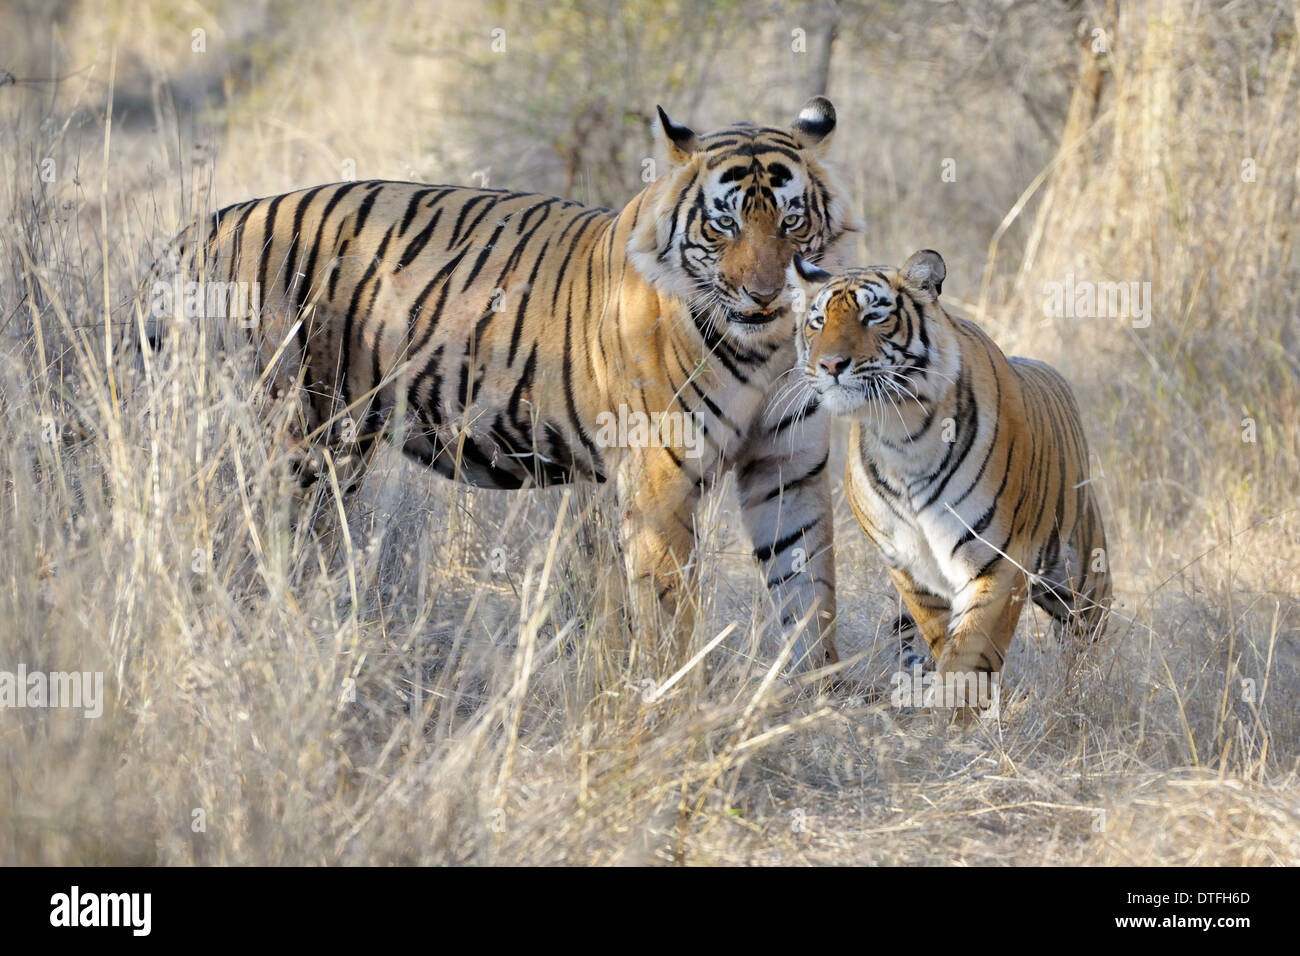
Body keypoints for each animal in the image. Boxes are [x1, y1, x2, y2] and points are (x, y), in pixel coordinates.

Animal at [147, 98, 857, 671]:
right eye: (723, 224)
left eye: (791, 221)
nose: (766, 296)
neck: (765, 350)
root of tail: (205, 227)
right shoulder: (660, 478)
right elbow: (668, 610)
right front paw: (674, 697)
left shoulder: (787, 466)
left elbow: (809, 587)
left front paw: (814, 695)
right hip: (291, 436)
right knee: (249, 538)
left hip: (338, 451)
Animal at [785, 251, 1112, 691]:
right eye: (818, 321)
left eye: (873, 315)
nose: (830, 363)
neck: (902, 434)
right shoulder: (909, 568)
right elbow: (944, 640)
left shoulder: (998, 561)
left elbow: (971, 653)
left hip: (1081, 576)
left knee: (1085, 633)